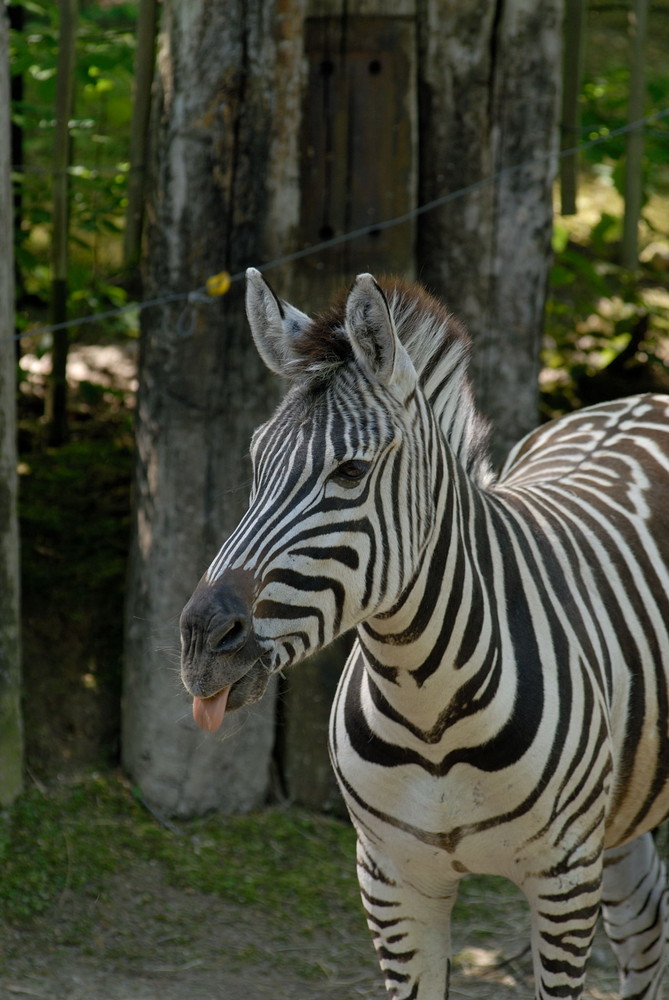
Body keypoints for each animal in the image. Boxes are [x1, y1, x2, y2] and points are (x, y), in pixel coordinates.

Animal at [180, 270, 668, 1000]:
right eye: (255, 461)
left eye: (351, 472)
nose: (201, 640)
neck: (427, 706)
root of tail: (642, 395)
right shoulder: (392, 881)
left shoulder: (562, 881)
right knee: (644, 920)